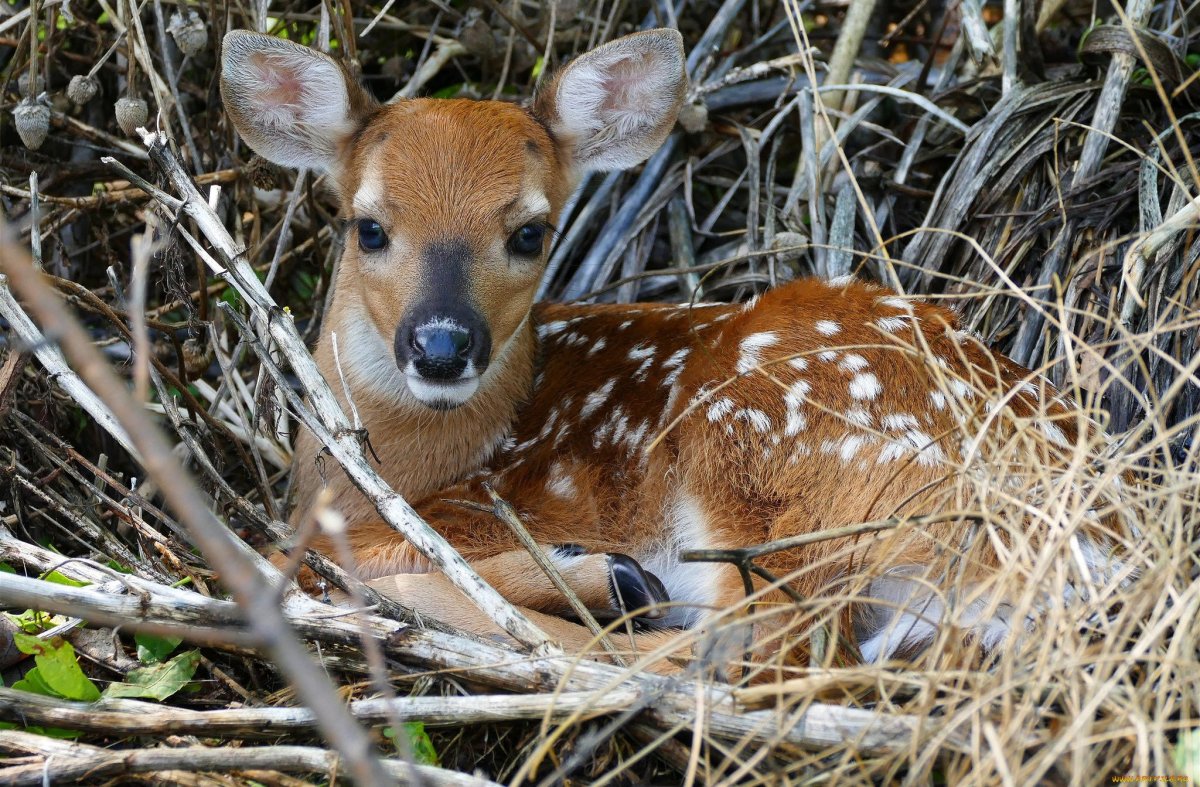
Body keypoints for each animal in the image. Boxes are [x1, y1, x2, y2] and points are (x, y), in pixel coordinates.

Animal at [219, 28, 1128, 670]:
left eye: (530, 231)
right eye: (368, 226)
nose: (442, 347)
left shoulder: (474, 512)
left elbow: (298, 555)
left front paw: (592, 571)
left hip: (776, 457)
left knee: (748, 651)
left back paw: (612, 586)